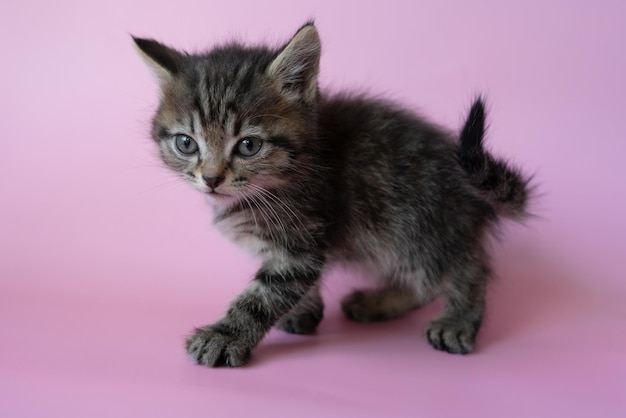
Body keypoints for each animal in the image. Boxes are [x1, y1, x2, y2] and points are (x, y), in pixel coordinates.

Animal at [134, 22, 528, 366]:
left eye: (248, 146)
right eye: (186, 143)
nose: (212, 178)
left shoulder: (300, 242)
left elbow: (263, 296)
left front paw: (224, 336)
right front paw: (305, 312)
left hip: (423, 225)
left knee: (465, 269)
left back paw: (457, 321)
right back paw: (378, 302)